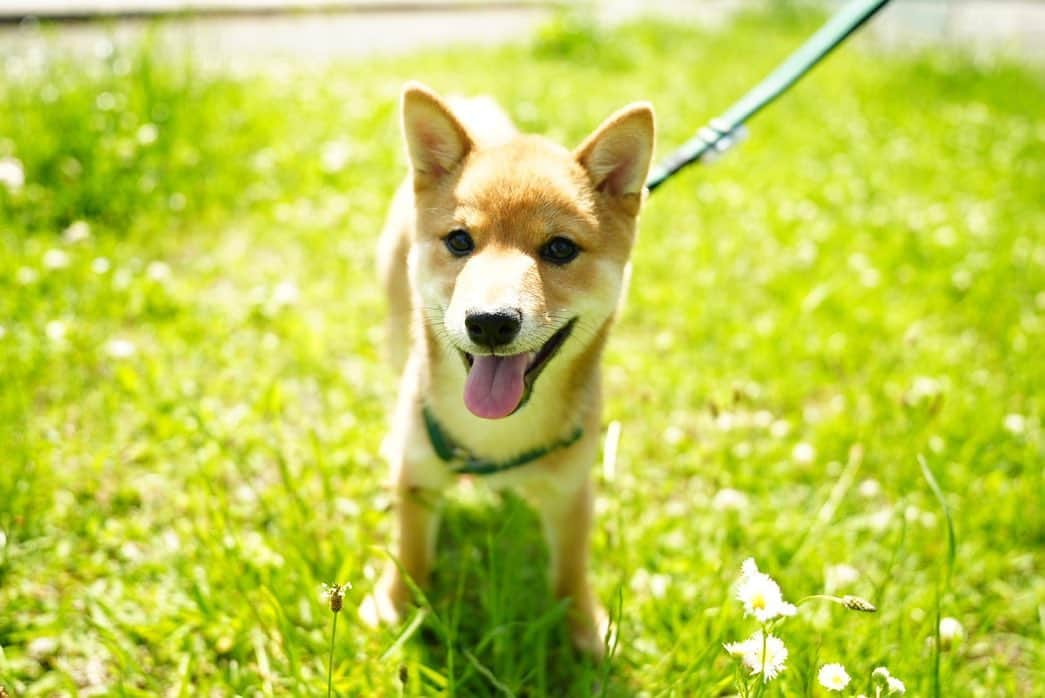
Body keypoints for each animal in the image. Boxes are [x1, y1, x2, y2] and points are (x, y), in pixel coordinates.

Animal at [361, 82, 652, 656]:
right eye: (459, 240)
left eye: (559, 247)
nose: (491, 323)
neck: (498, 437)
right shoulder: (417, 478)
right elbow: (411, 550)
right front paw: (397, 605)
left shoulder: (572, 491)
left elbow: (570, 570)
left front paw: (585, 630)